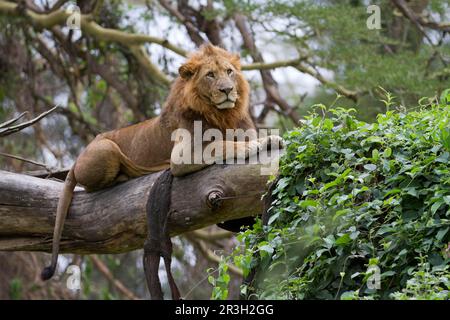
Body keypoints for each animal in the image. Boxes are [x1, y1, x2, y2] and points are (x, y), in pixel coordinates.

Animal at [41, 44, 282, 280]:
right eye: (210, 75)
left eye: (229, 71)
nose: (227, 90)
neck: (224, 115)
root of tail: (76, 162)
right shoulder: (182, 154)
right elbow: (225, 144)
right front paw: (262, 142)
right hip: (106, 147)